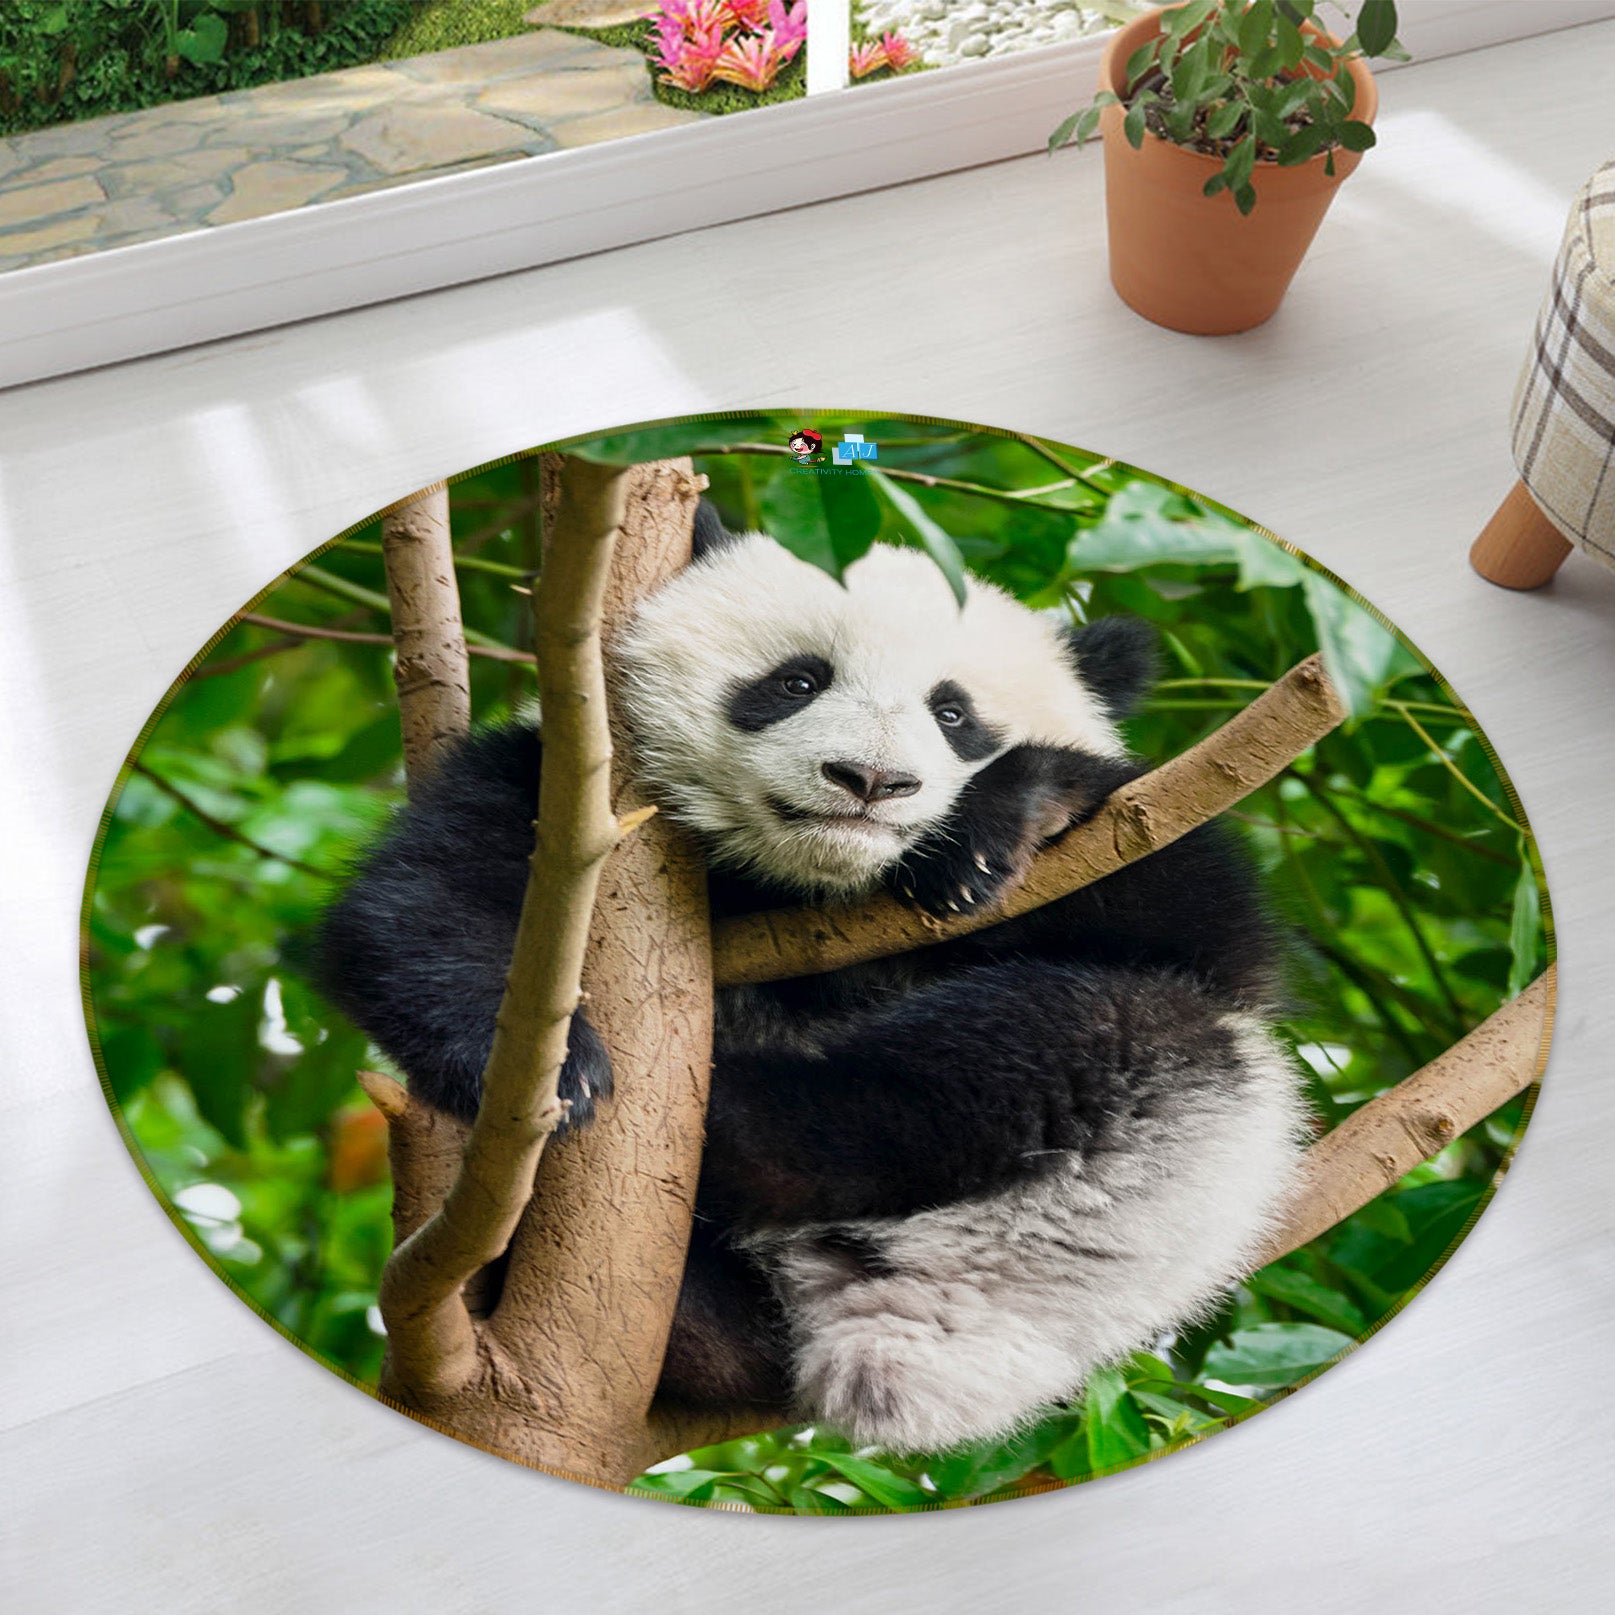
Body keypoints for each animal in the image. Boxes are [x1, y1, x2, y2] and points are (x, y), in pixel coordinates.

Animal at [314, 502, 1310, 1455]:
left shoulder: (1166, 854)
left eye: (954, 714)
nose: (869, 780)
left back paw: (734, 1115)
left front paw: (1004, 819)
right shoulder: (571, 798)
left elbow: (1202, 923)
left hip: (1158, 1154)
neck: (811, 881)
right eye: (797, 680)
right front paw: (551, 1073)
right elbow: (422, 903)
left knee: (1032, 1050)